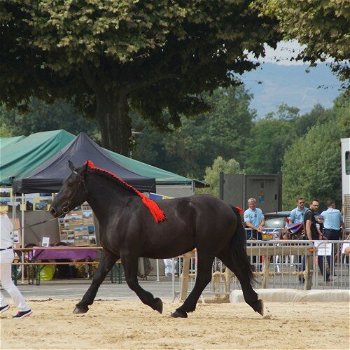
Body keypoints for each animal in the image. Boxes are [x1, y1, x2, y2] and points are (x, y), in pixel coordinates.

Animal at [49, 161, 262, 318]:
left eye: (70, 183)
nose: (53, 209)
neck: (119, 210)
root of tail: (229, 207)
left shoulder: (128, 253)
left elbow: (131, 282)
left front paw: (155, 303)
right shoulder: (110, 253)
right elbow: (97, 278)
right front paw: (81, 305)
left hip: (207, 249)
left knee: (203, 277)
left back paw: (181, 310)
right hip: (222, 249)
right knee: (239, 272)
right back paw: (256, 303)